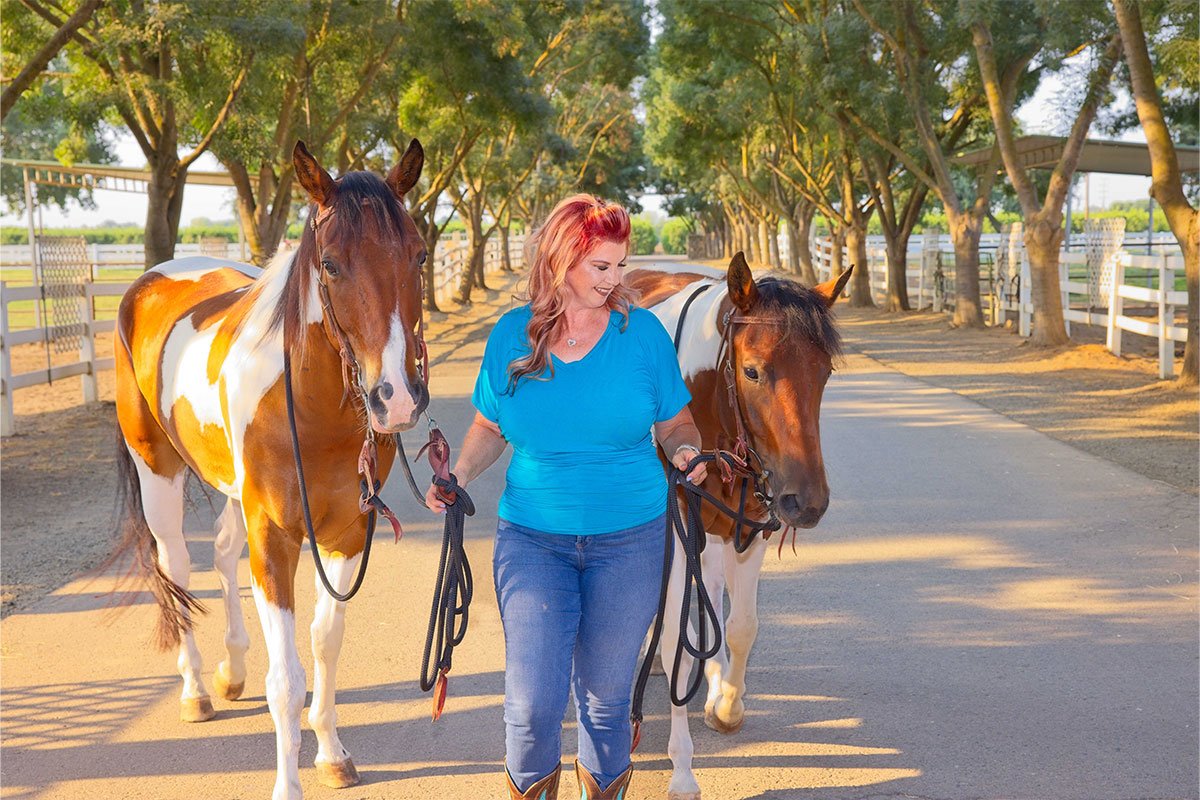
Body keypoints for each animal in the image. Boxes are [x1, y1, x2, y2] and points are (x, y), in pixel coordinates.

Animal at [109, 139, 427, 800]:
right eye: (330, 264)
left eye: (419, 254)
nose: (396, 398)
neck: (310, 404)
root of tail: (153, 278)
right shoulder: (276, 536)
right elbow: (287, 680)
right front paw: (288, 782)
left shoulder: (348, 531)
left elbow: (326, 645)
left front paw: (332, 752)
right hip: (158, 472)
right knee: (177, 567)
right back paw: (196, 690)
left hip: (234, 490)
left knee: (223, 552)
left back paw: (231, 670)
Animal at [628, 255, 854, 800]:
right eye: (752, 370)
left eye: (825, 372)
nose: (806, 501)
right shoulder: (678, 527)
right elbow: (676, 638)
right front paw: (683, 770)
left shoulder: (751, 527)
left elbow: (741, 627)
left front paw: (727, 702)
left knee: (710, 593)